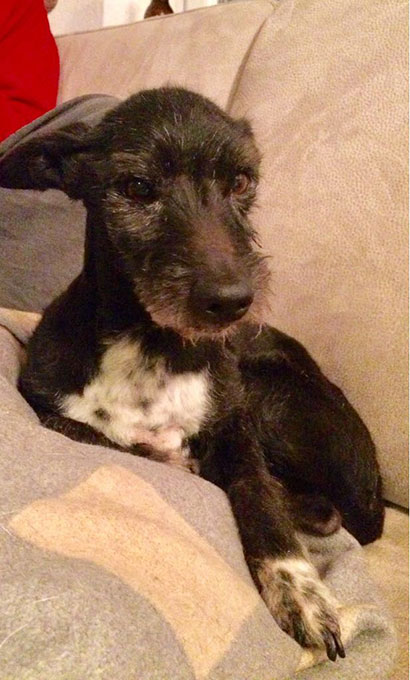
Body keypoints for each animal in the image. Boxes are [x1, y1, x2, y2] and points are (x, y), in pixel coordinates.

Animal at [0, 87, 384, 662]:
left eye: (242, 182)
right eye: (136, 187)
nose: (232, 302)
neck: (154, 347)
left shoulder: (237, 423)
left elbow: (258, 490)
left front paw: (300, 590)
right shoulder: (46, 404)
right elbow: (108, 438)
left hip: (267, 391)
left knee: (323, 510)